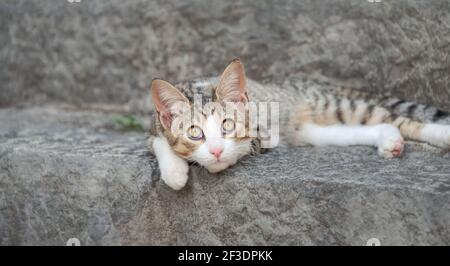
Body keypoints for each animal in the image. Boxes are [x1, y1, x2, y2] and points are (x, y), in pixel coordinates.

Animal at [149, 59, 450, 190]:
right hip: (314, 131)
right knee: (363, 128)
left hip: (333, 106)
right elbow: (157, 140)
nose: (215, 150)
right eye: (194, 133)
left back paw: (441, 134)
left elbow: (248, 144)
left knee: (392, 117)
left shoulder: (263, 133)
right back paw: (389, 140)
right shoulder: (154, 124)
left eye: (227, 125)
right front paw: (175, 171)